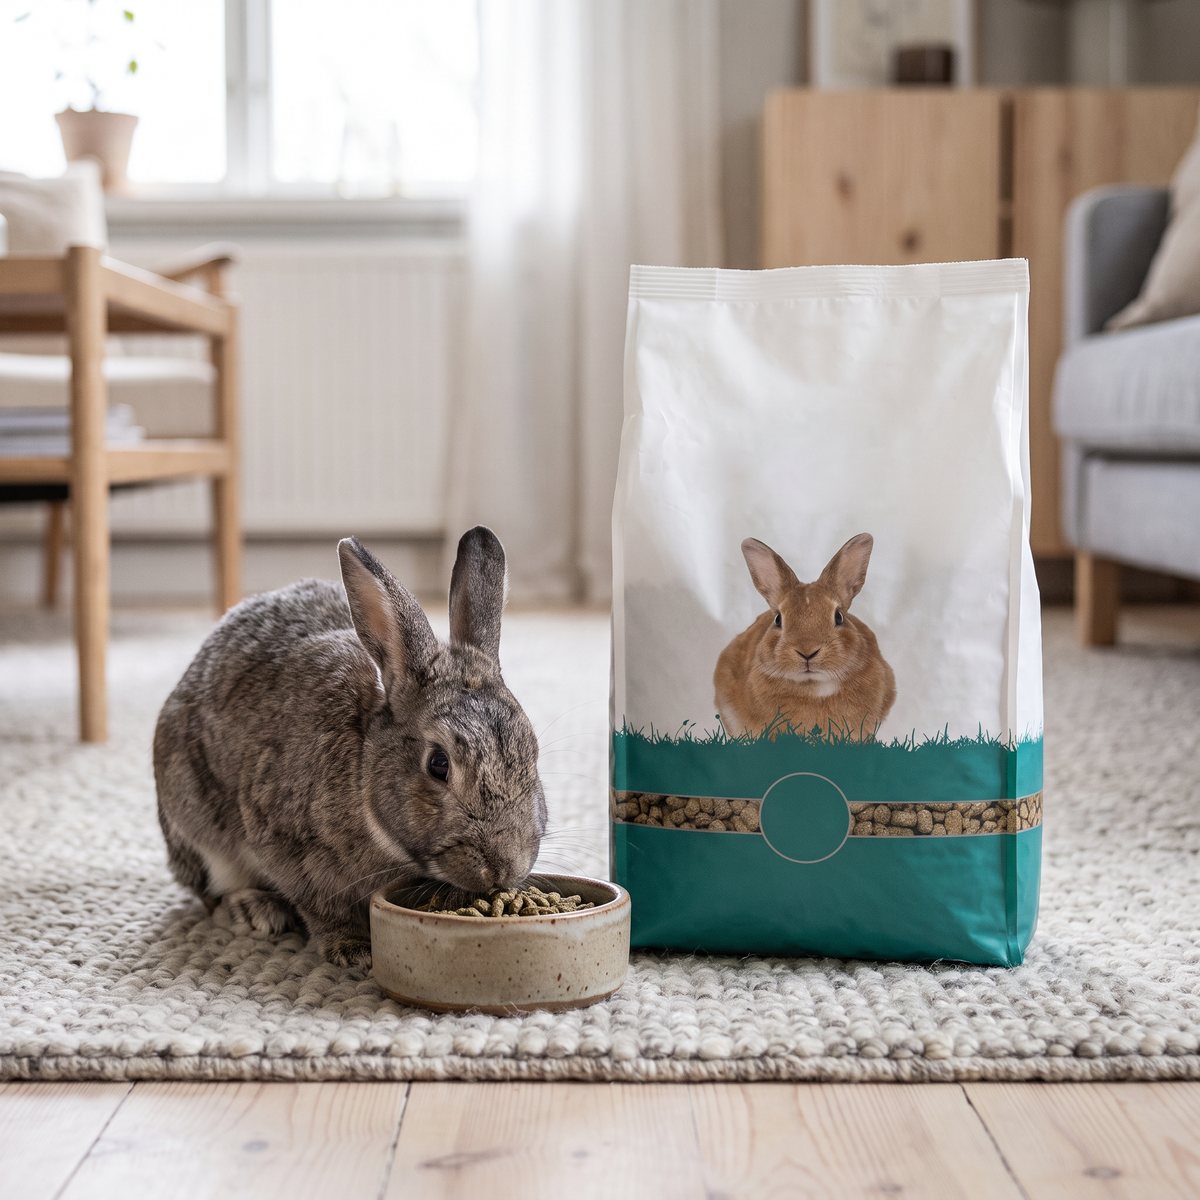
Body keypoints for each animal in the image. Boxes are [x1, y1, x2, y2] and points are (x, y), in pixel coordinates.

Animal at [153, 526, 547, 970]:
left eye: (533, 752)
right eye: (439, 764)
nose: (506, 868)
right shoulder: (284, 843)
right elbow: (321, 906)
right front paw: (353, 949)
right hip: (196, 824)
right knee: (212, 890)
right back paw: (258, 909)